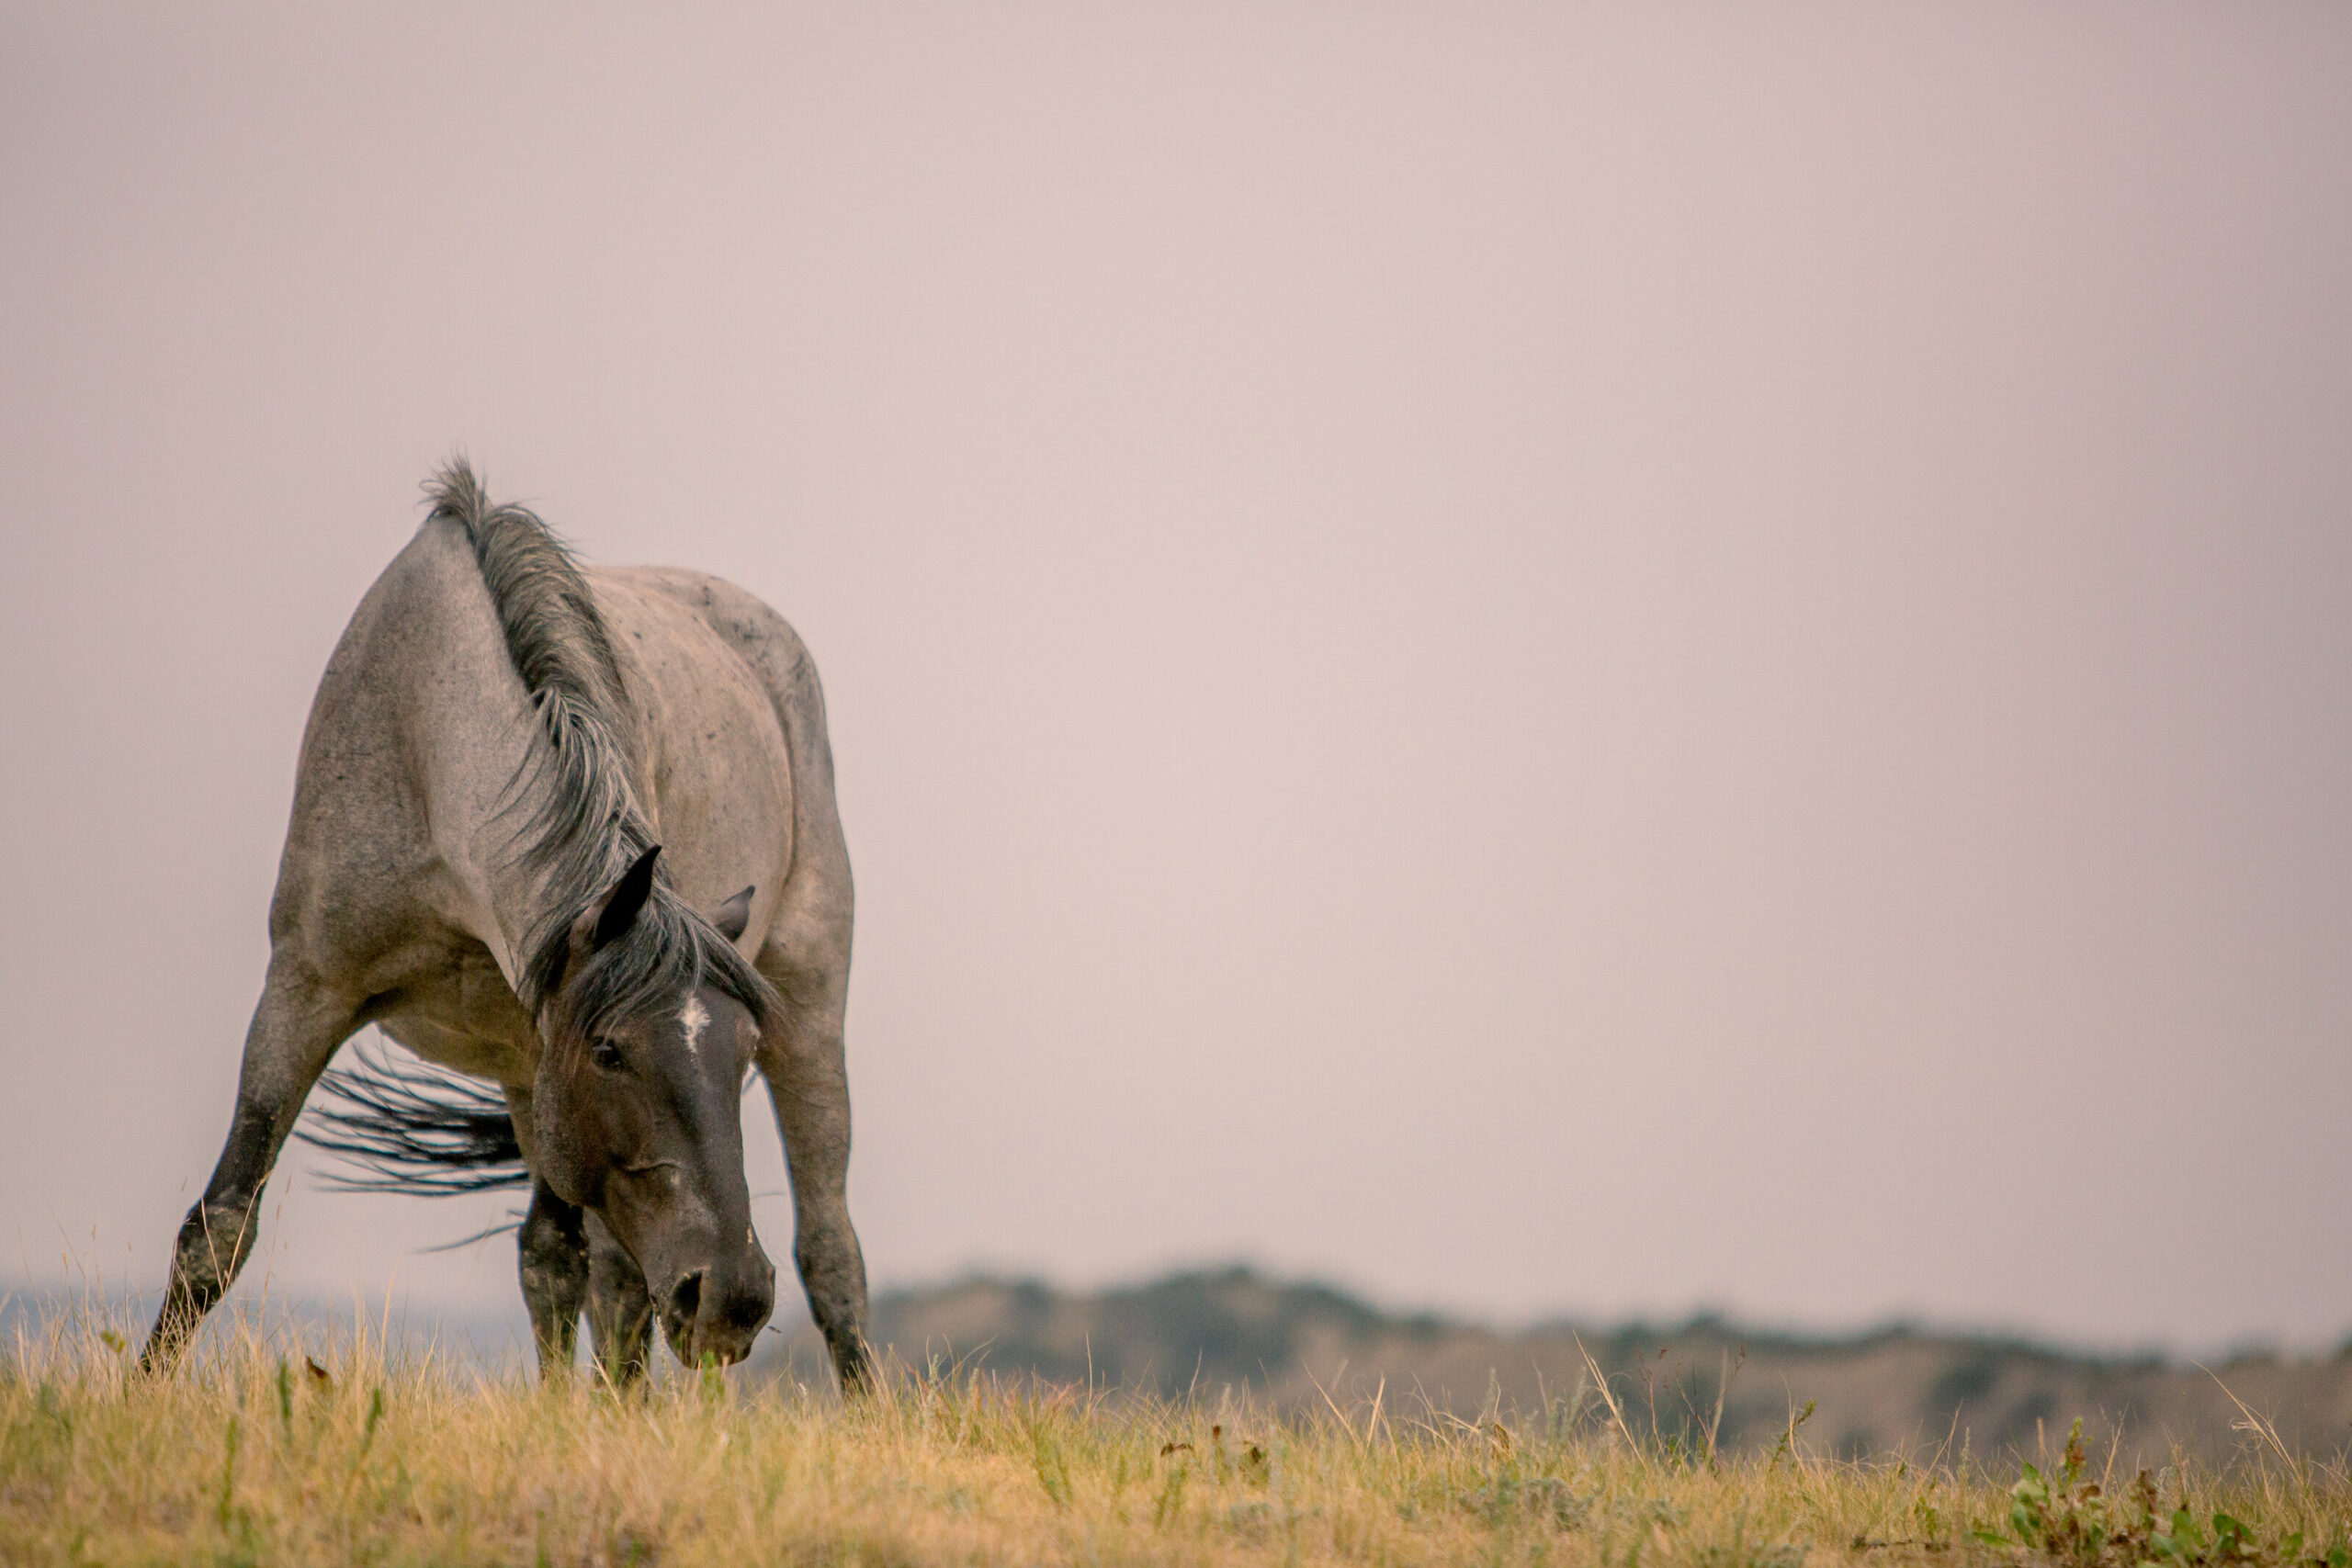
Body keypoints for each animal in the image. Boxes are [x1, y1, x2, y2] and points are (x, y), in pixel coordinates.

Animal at [140, 460, 875, 1392]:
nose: (731, 1300)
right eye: (610, 1051)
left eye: (743, 1048)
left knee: (819, 1254)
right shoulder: (306, 991)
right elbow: (220, 1228)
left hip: (809, 1013)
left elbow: (592, 1272)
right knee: (583, 1271)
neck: (423, 735)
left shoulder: (544, 1047)